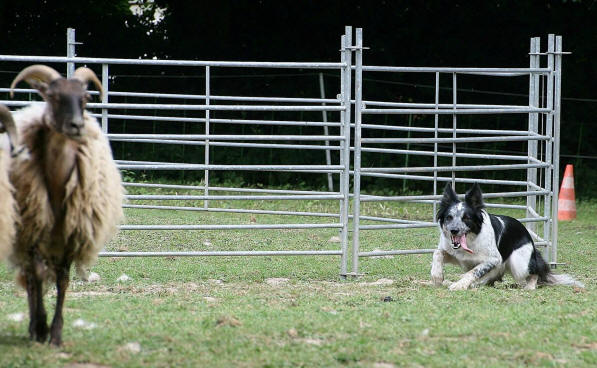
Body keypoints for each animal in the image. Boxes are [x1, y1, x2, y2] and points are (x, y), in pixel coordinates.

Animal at [9, 65, 123, 344]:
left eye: (85, 98)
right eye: (52, 97)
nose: (76, 126)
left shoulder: (72, 235)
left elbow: (63, 280)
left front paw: (56, 334)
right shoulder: (33, 231)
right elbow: (37, 277)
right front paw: (40, 327)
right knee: (31, 278)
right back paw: (33, 326)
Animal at [430, 183, 580, 290]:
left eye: (466, 218)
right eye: (449, 217)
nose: (454, 230)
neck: (470, 240)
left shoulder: (494, 259)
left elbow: (474, 271)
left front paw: (459, 284)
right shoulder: (457, 257)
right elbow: (437, 252)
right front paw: (437, 276)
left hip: (519, 265)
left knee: (535, 273)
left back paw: (530, 286)